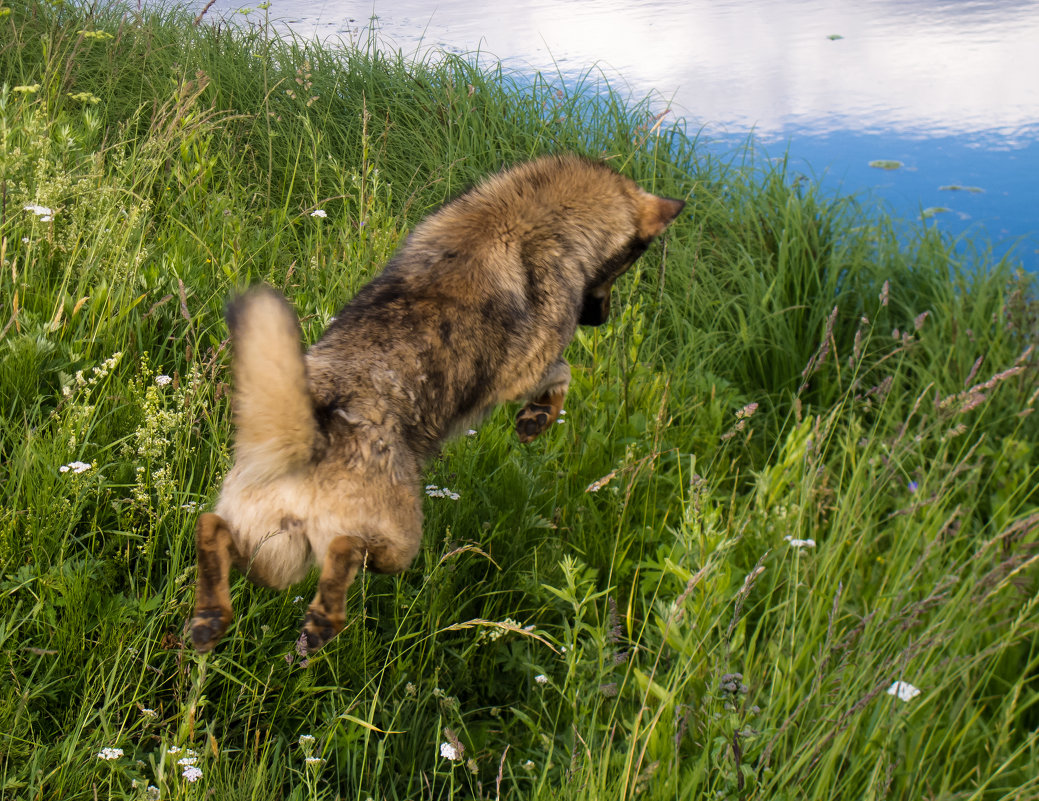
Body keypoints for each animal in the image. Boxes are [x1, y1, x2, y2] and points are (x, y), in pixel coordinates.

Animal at [191, 153, 685, 656]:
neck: (539, 218)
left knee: (213, 530)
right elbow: (563, 373)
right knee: (348, 551)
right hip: (394, 542)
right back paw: (321, 622)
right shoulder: (526, 370)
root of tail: (312, 434)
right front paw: (537, 418)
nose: (600, 319)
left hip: (274, 558)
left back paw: (211, 618)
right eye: (626, 265)